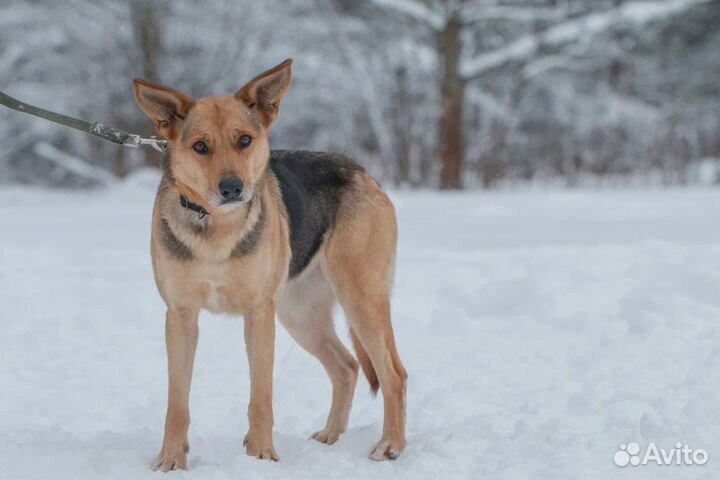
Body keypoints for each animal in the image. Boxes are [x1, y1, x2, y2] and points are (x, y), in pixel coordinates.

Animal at [132, 58, 408, 470]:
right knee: (346, 367)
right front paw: (170, 460)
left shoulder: (259, 314)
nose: (232, 188)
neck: (218, 227)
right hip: (301, 315)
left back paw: (391, 445)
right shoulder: (180, 317)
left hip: (360, 299)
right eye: (200, 147)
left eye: (244, 140)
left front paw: (260, 455)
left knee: (394, 374)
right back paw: (331, 437)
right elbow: (177, 402)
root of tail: (362, 171)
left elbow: (261, 395)